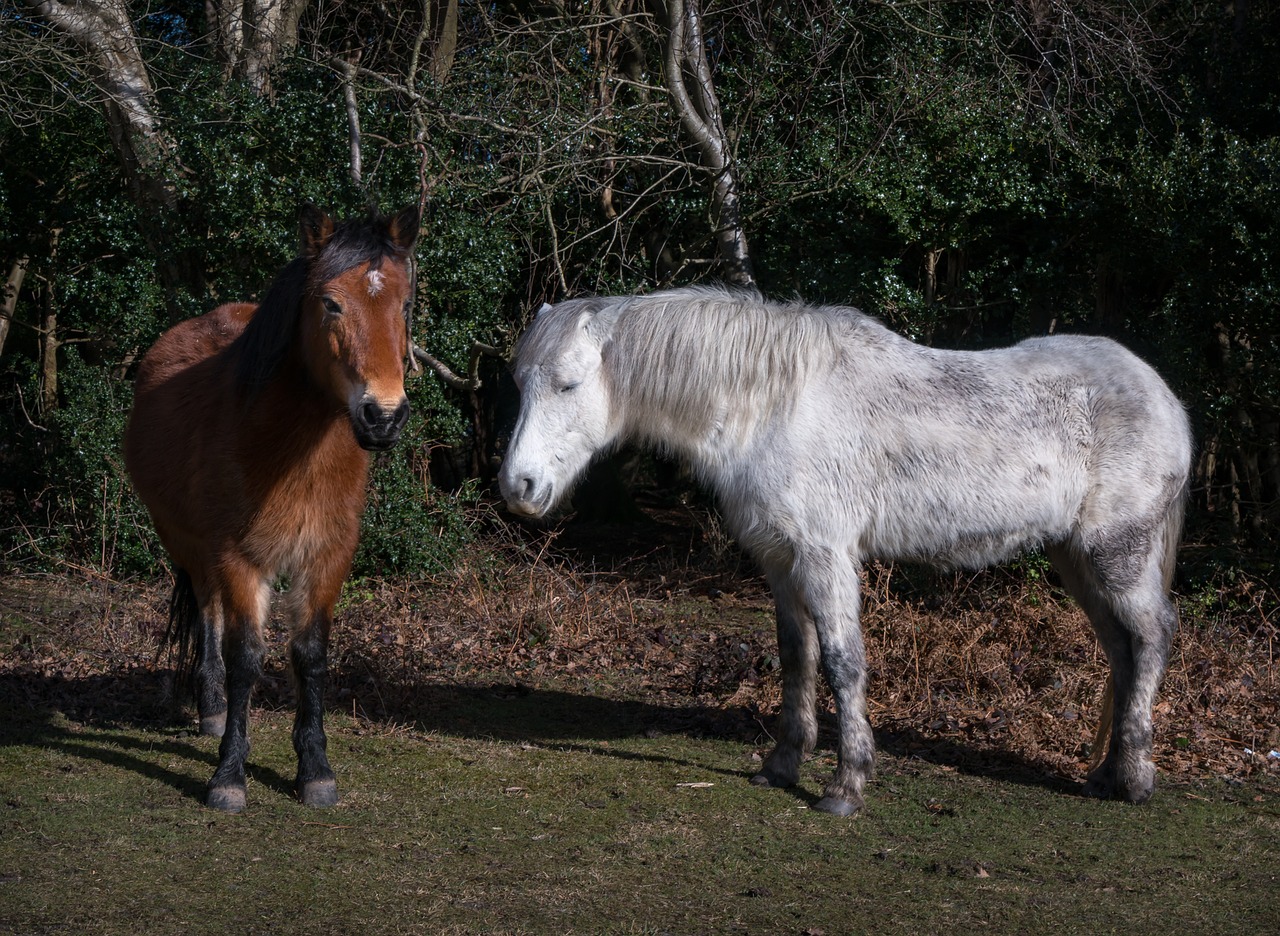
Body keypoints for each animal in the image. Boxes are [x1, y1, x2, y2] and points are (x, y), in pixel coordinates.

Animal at [124, 204, 417, 814]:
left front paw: (316, 770)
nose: (383, 416)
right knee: (209, 613)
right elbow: (246, 657)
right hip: (189, 545)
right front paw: (228, 776)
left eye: (404, 306)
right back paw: (212, 710)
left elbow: (310, 654)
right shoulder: (238, 557)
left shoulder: (328, 556)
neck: (290, 449)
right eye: (330, 303)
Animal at [496, 286, 1187, 819]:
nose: (518, 487)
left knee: (1152, 636)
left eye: (569, 384)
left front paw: (845, 786)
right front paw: (781, 765)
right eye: (520, 383)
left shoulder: (825, 557)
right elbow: (795, 658)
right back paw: (1105, 775)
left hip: (1116, 554)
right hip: (1078, 560)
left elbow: (841, 662)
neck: (771, 406)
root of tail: (1164, 397)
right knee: (1122, 649)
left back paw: (1136, 779)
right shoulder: (780, 562)